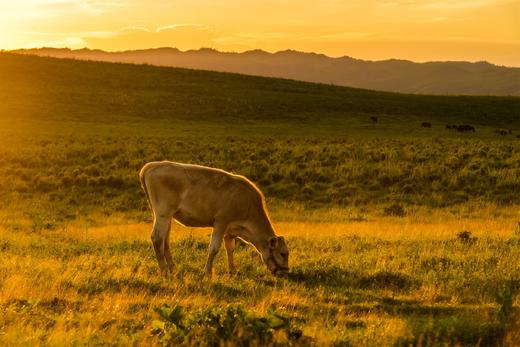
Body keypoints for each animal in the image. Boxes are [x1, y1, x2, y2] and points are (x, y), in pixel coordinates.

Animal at [140, 161, 290, 278]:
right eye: (283, 253)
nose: (286, 272)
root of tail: (151, 165)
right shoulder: (221, 222)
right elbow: (214, 248)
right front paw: (207, 272)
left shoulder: (230, 230)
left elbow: (230, 249)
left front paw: (232, 271)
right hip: (163, 213)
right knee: (157, 238)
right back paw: (164, 271)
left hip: (166, 217)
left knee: (165, 240)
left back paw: (172, 268)